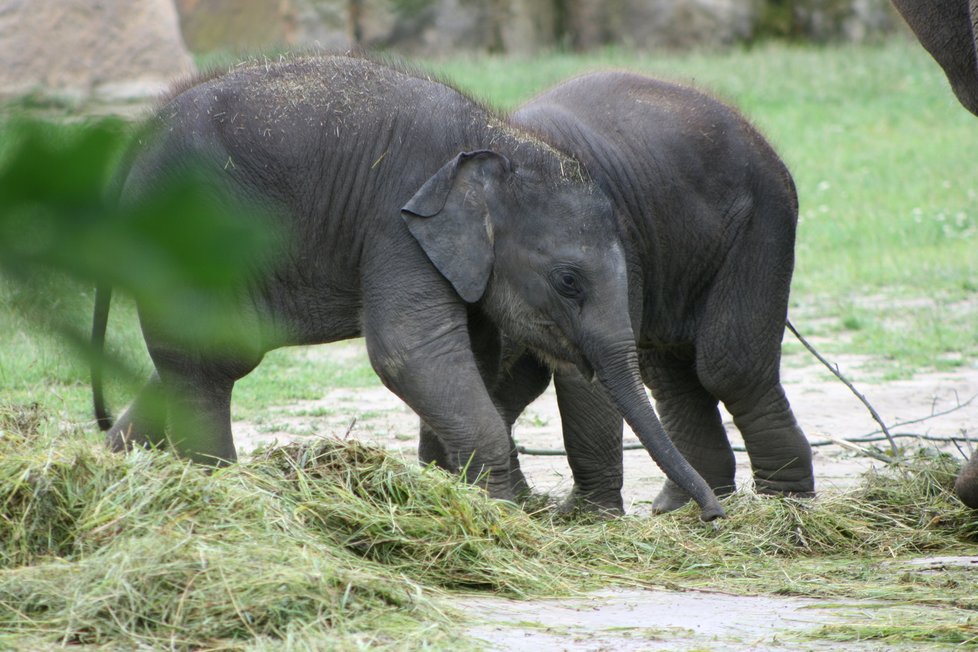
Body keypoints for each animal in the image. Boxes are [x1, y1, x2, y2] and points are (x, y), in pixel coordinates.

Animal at [93, 54, 724, 520]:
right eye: (568, 281)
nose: (713, 515)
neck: (497, 142)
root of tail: (135, 139)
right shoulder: (396, 224)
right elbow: (408, 352)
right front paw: (502, 510)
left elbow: (476, 353)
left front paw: (460, 489)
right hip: (178, 233)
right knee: (208, 359)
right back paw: (222, 491)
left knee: (200, 358)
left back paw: (124, 468)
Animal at [492, 71, 812, 516]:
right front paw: (517, 503)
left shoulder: (609, 252)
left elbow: (581, 372)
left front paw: (584, 517)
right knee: (669, 372)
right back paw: (683, 506)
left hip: (761, 224)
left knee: (728, 369)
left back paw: (785, 503)